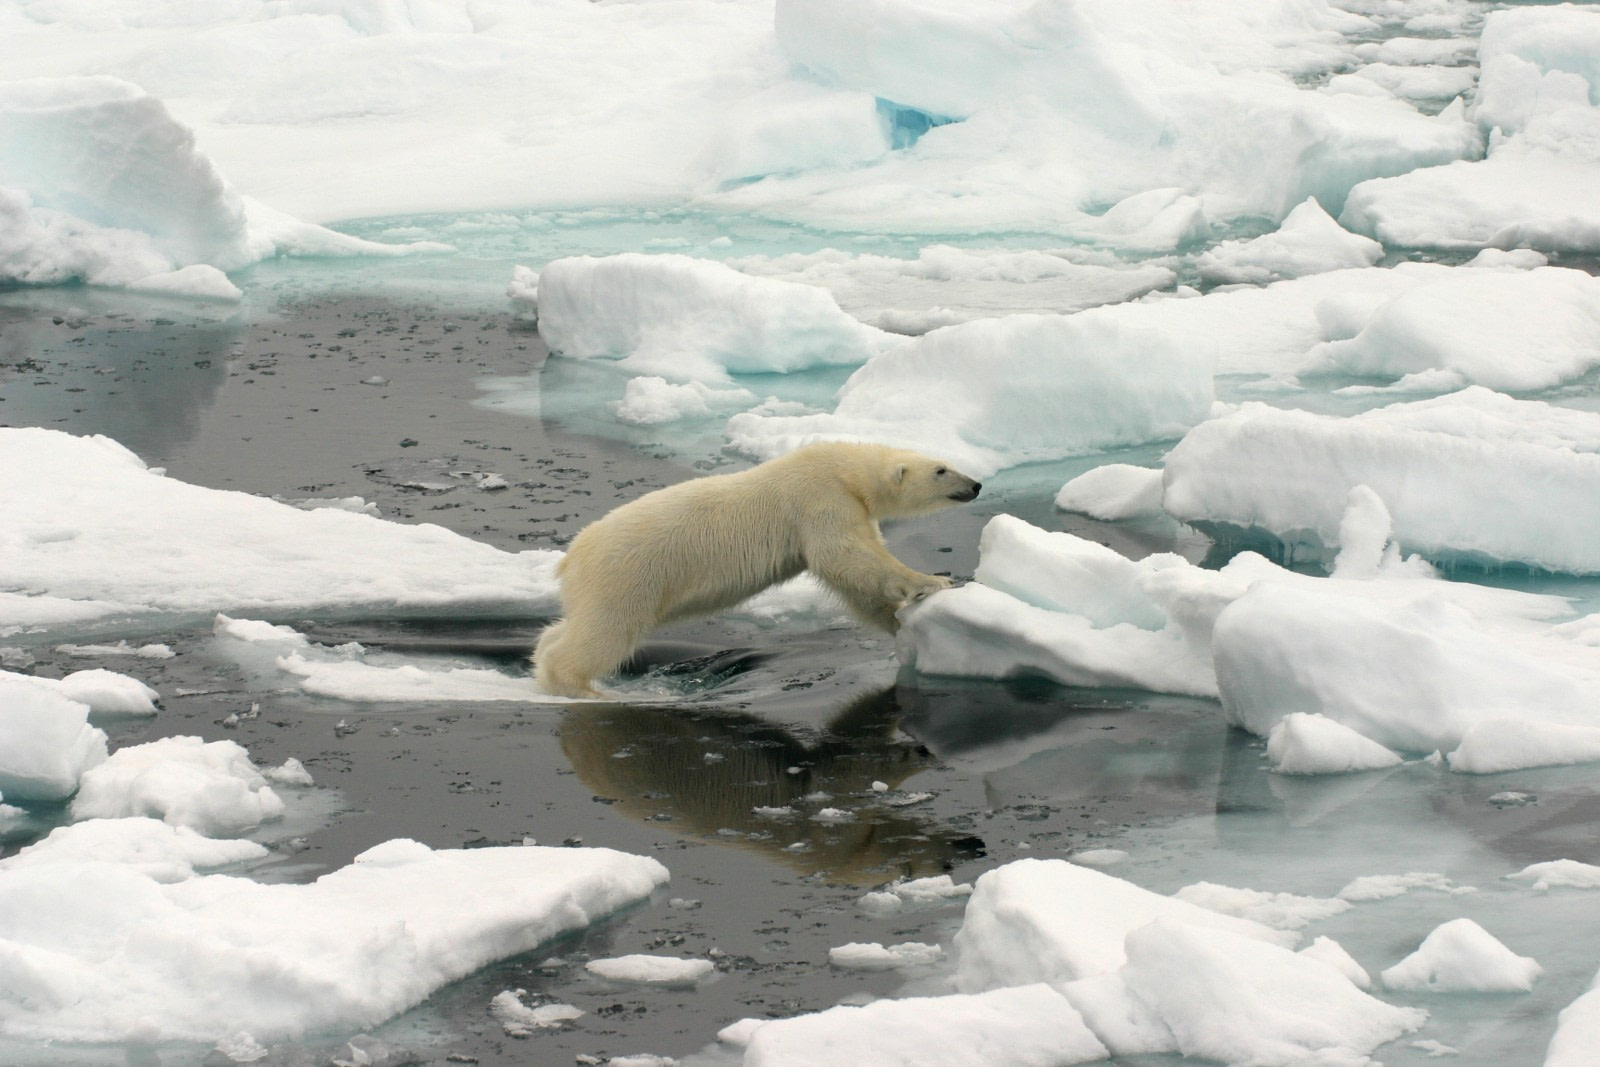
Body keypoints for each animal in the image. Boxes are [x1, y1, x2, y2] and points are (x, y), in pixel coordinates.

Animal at [537, 441, 979, 700]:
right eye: (941, 470)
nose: (975, 485)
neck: (844, 466)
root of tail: (571, 558)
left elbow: (853, 580)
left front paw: (901, 624)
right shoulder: (821, 498)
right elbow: (845, 556)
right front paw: (933, 581)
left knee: (572, 625)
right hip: (627, 575)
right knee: (606, 631)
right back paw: (583, 688)